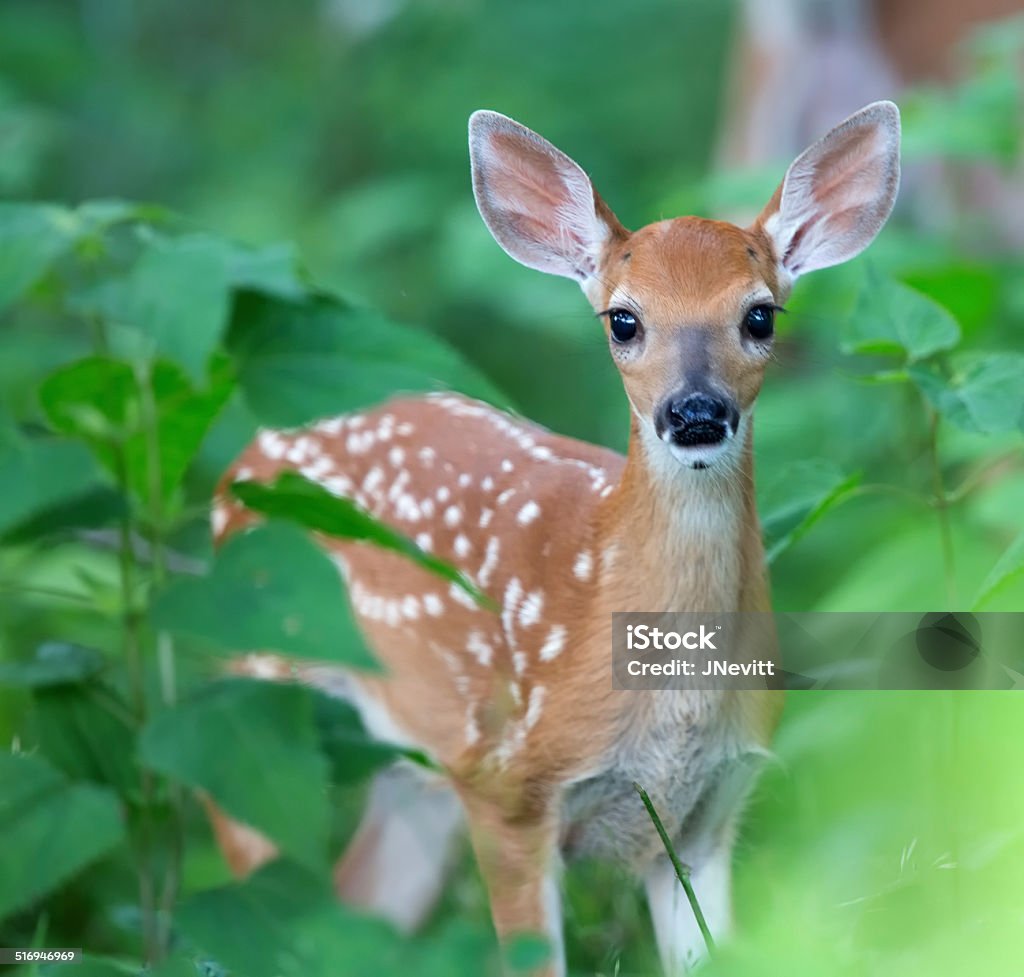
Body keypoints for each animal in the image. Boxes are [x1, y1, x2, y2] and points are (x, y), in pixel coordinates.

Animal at [203, 102, 901, 970]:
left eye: (760, 314)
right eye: (624, 319)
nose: (695, 413)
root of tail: (243, 461)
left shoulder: (709, 814)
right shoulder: (510, 788)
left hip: (421, 769)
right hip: (245, 691)